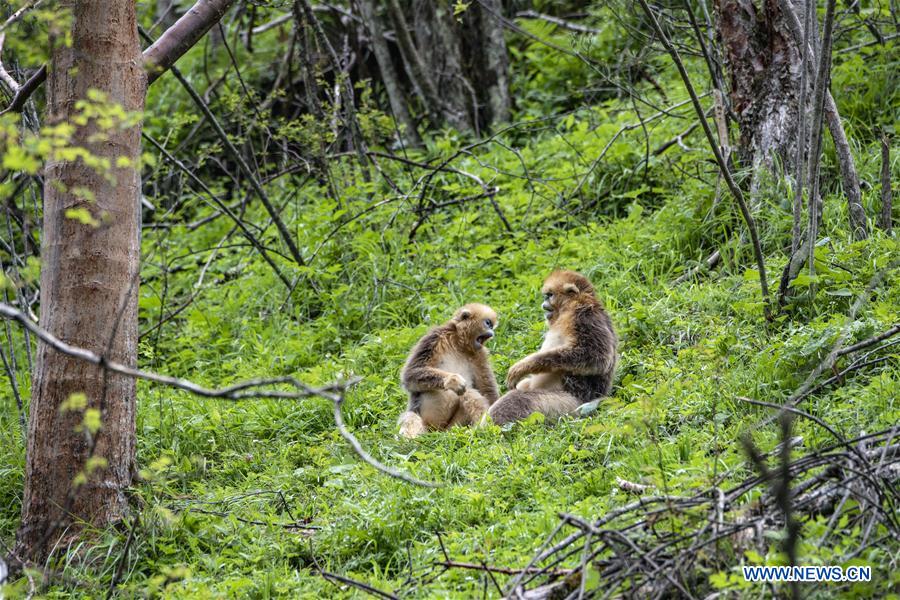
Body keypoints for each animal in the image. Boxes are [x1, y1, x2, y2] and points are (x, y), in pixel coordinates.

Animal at [400, 304, 500, 436]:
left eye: (491, 326)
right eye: (488, 323)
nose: (492, 332)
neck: (458, 344)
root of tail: (437, 432)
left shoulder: (480, 353)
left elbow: (487, 391)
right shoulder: (434, 337)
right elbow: (409, 375)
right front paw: (452, 380)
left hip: (452, 426)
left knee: (468, 393)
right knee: (411, 416)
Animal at [486, 270, 620, 424]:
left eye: (550, 295)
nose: (543, 305)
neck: (570, 307)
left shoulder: (585, 316)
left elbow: (595, 357)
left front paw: (522, 367)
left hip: (568, 406)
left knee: (516, 399)